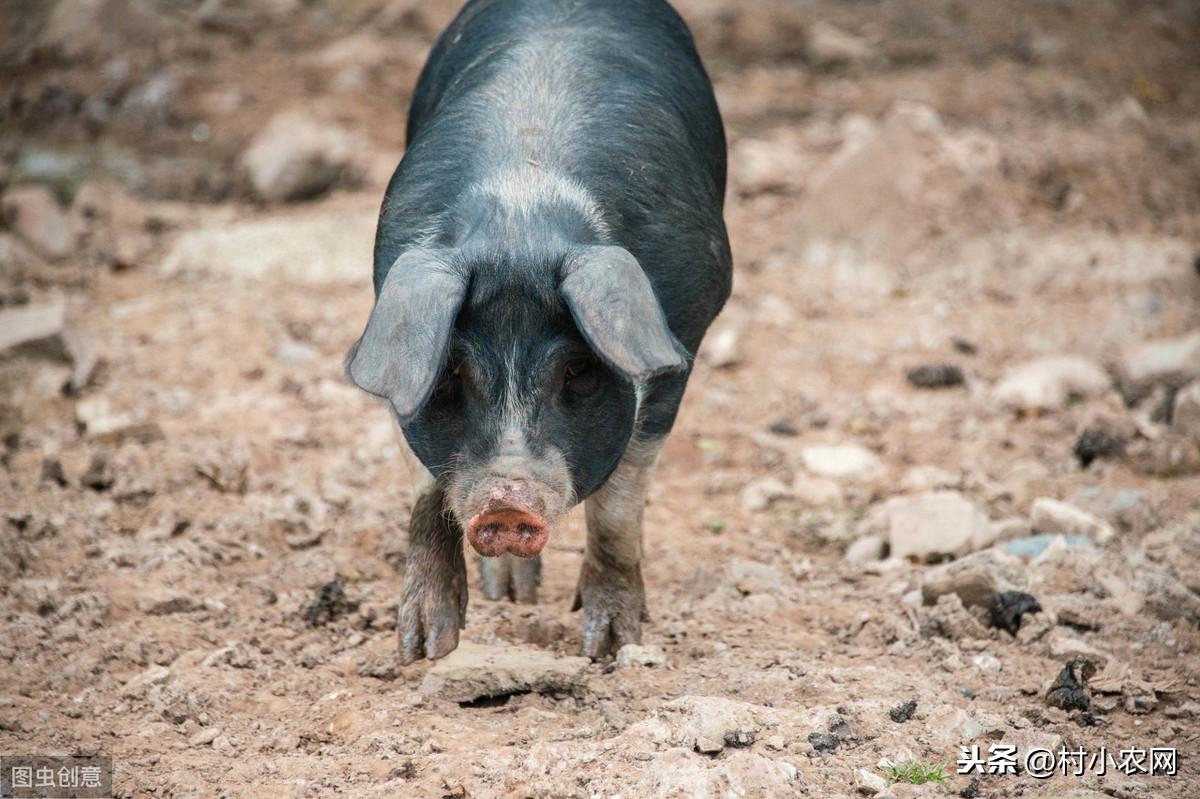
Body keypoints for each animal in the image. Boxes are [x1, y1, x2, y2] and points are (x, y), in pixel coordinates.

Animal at [348, 0, 729, 657]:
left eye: (577, 368)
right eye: (451, 372)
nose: (506, 504)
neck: (521, 217)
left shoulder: (681, 338)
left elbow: (619, 504)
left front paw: (609, 648)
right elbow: (427, 489)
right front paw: (424, 648)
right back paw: (508, 595)